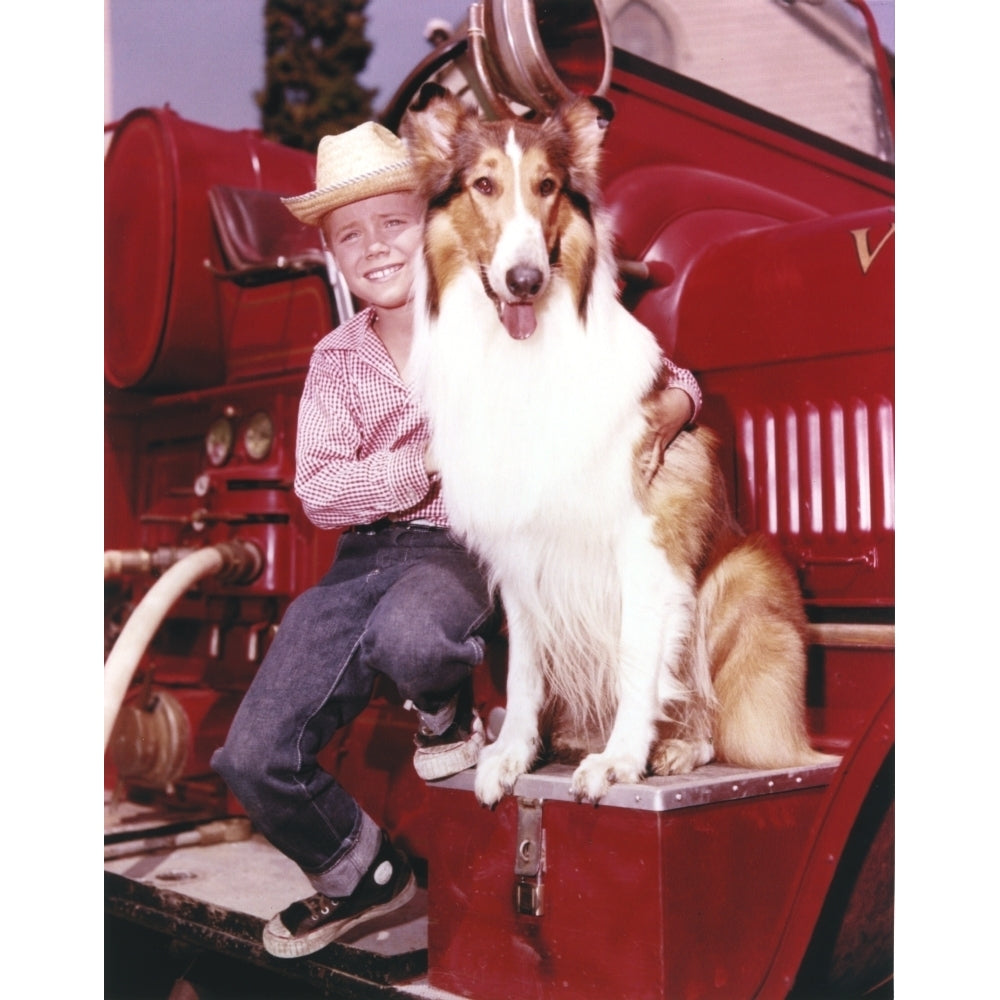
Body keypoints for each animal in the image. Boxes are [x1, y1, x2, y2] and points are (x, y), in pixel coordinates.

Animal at [398, 86, 828, 804]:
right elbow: (523, 672)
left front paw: (621, 760)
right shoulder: (521, 558)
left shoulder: (645, 546)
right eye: (484, 185)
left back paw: (674, 748)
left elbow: (636, 662)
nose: (525, 280)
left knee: (703, 706)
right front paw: (512, 756)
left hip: (743, 575)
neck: (522, 358)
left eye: (547, 187)